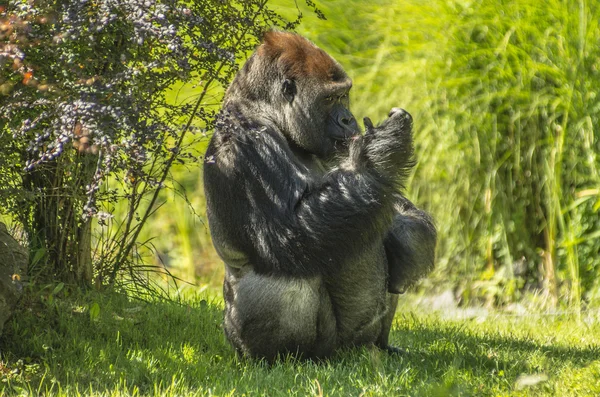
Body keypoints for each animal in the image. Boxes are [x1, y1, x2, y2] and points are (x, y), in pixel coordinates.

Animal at [204, 31, 438, 358]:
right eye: (329, 99)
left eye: (343, 96)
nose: (348, 119)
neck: (264, 110)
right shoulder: (247, 142)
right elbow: (290, 232)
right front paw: (384, 149)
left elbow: (384, 199)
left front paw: (410, 240)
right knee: (288, 277)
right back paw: (288, 356)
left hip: (361, 342)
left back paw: (384, 346)